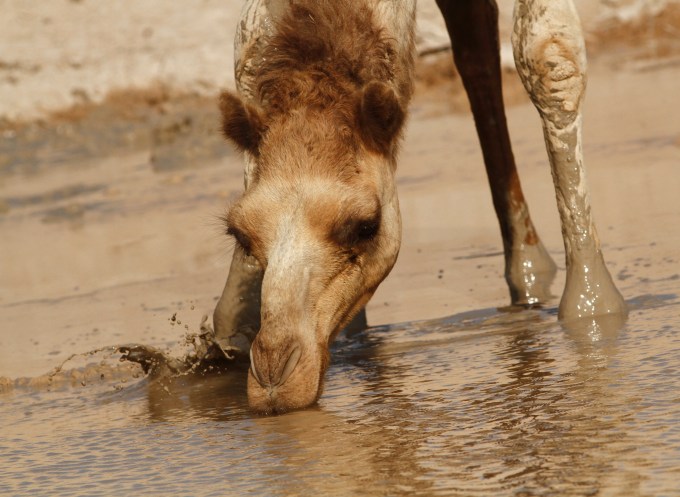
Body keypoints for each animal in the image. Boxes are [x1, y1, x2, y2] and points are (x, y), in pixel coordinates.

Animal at [214, 0, 627, 414]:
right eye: (240, 233)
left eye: (366, 225)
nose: (274, 374)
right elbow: (247, 50)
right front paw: (230, 328)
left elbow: (549, 61)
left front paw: (593, 305)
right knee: (474, 45)